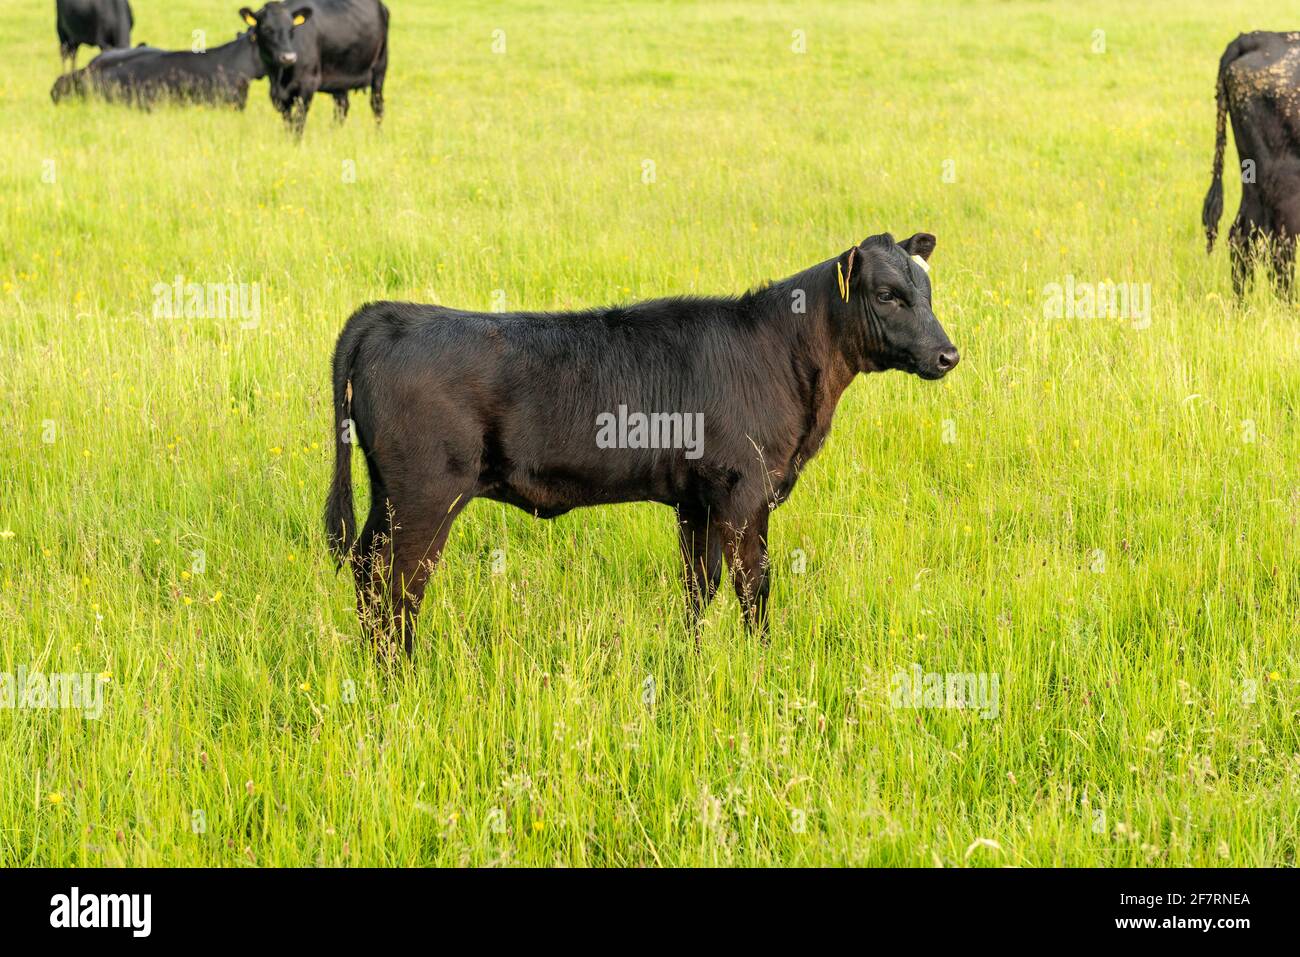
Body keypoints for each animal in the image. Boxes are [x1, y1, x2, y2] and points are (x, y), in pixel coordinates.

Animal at [239, 0, 387, 136]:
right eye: (266, 28)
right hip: (340, 79)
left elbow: (299, 120)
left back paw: (378, 134)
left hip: (380, 67)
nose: (288, 57)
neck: (279, 78)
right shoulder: (279, 97)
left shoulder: (308, 84)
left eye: (292, 29)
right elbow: (288, 122)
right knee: (342, 106)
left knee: (376, 105)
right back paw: (335, 134)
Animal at [321, 232, 961, 655]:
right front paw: (762, 665)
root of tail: (387, 314)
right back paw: (400, 673)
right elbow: (753, 586)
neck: (785, 353)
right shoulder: (745, 493)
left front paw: (693, 661)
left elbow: (699, 588)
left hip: (387, 495)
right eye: (887, 294)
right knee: (396, 584)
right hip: (424, 497)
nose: (948, 355)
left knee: (366, 571)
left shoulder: (697, 501)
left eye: (926, 291)